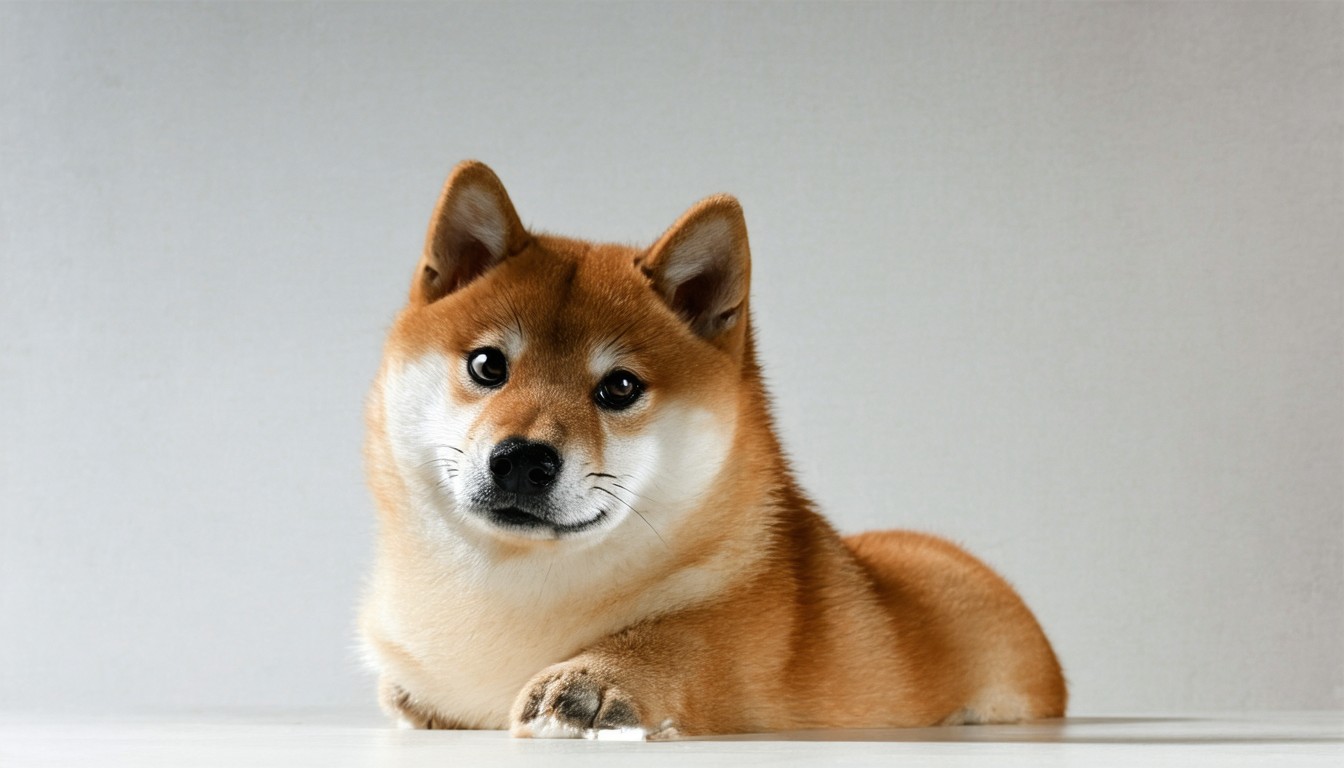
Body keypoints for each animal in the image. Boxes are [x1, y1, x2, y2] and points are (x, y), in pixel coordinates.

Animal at [358, 160, 1067, 739]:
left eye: (620, 387)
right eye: (487, 364)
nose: (522, 460)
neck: (515, 591)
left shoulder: (733, 635)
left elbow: (681, 637)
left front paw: (596, 677)